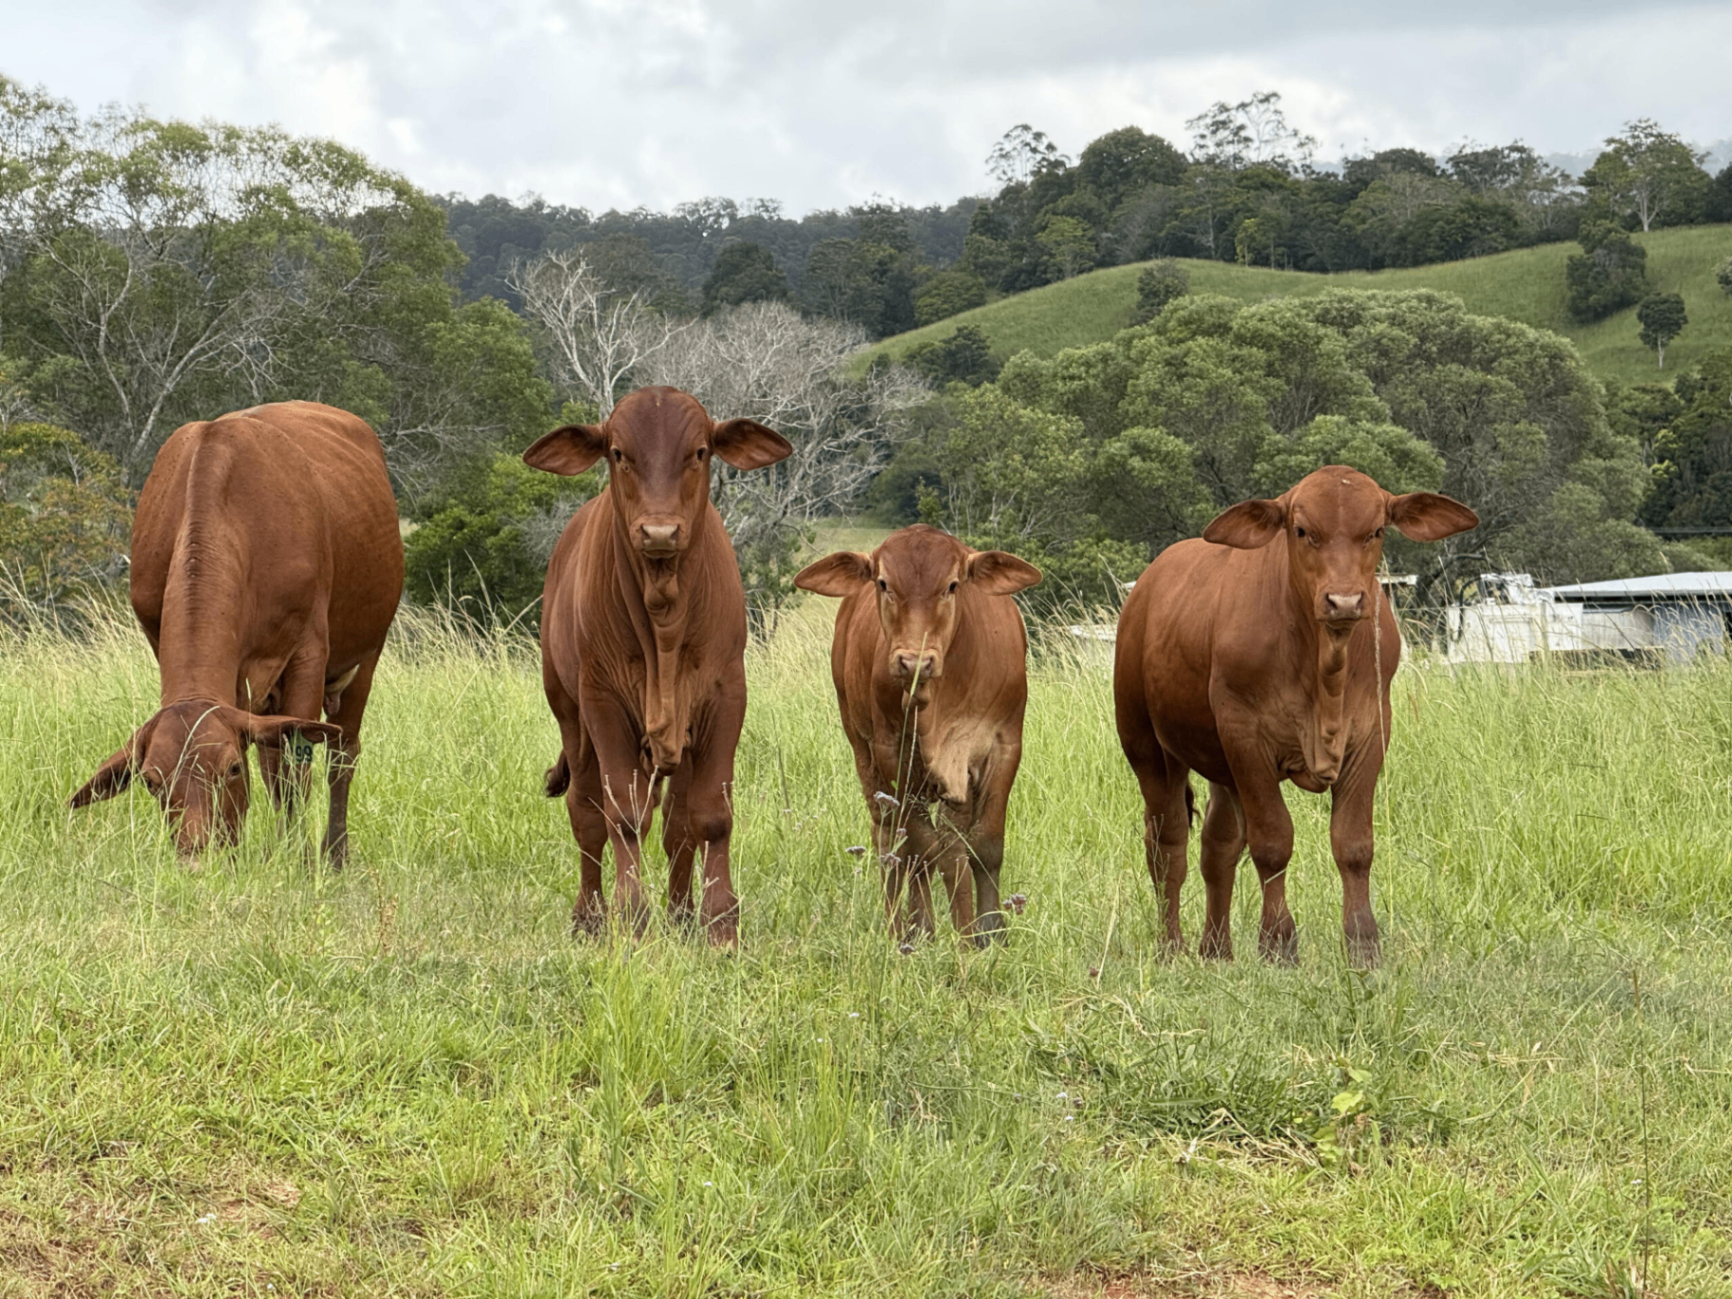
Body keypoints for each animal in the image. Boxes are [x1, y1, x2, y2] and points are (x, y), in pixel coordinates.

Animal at [70, 401, 404, 864]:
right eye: (152, 782)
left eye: (229, 768)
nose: (196, 855)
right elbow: (271, 763)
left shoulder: (308, 654)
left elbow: (297, 769)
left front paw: (298, 858)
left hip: (364, 658)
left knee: (341, 756)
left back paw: (334, 852)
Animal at [527, 386, 792, 946]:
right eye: (618, 453)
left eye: (699, 452)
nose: (659, 531)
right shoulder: (603, 701)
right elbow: (623, 816)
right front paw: (632, 917)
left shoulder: (724, 696)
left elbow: (708, 816)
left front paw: (718, 922)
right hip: (569, 714)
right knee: (586, 811)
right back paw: (590, 916)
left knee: (675, 821)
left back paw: (681, 912)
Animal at [795, 525, 1042, 945]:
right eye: (883, 583)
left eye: (952, 585)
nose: (914, 662)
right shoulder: (891, 752)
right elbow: (921, 848)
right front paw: (927, 929)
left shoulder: (1003, 745)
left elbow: (983, 845)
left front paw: (988, 932)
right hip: (863, 751)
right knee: (889, 838)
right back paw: (902, 927)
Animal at [1113, 466, 1477, 966]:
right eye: (1302, 530)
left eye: (1376, 531)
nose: (1344, 601)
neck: (1324, 665)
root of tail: (1145, 587)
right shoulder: (1245, 736)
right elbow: (1272, 842)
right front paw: (1278, 942)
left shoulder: (1370, 734)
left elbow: (1353, 844)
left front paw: (1363, 945)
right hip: (1148, 746)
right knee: (1167, 845)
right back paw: (1171, 946)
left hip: (1221, 769)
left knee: (1218, 845)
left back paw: (1217, 948)